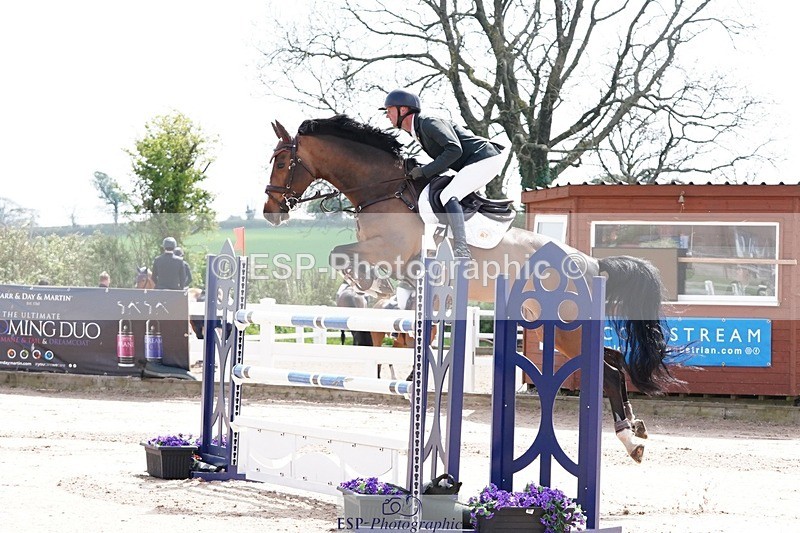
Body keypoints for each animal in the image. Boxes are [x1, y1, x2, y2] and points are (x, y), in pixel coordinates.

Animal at [262, 114, 680, 462]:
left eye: (282, 162)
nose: (271, 212)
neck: (383, 191)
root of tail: (590, 263)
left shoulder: (390, 250)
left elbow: (341, 256)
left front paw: (371, 286)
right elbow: (341, 256)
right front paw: (371, 287)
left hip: (564, 325)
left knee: (608, 370)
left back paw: (629, 439)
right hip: (557, 325)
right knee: (614, 359)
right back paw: (635, 427)